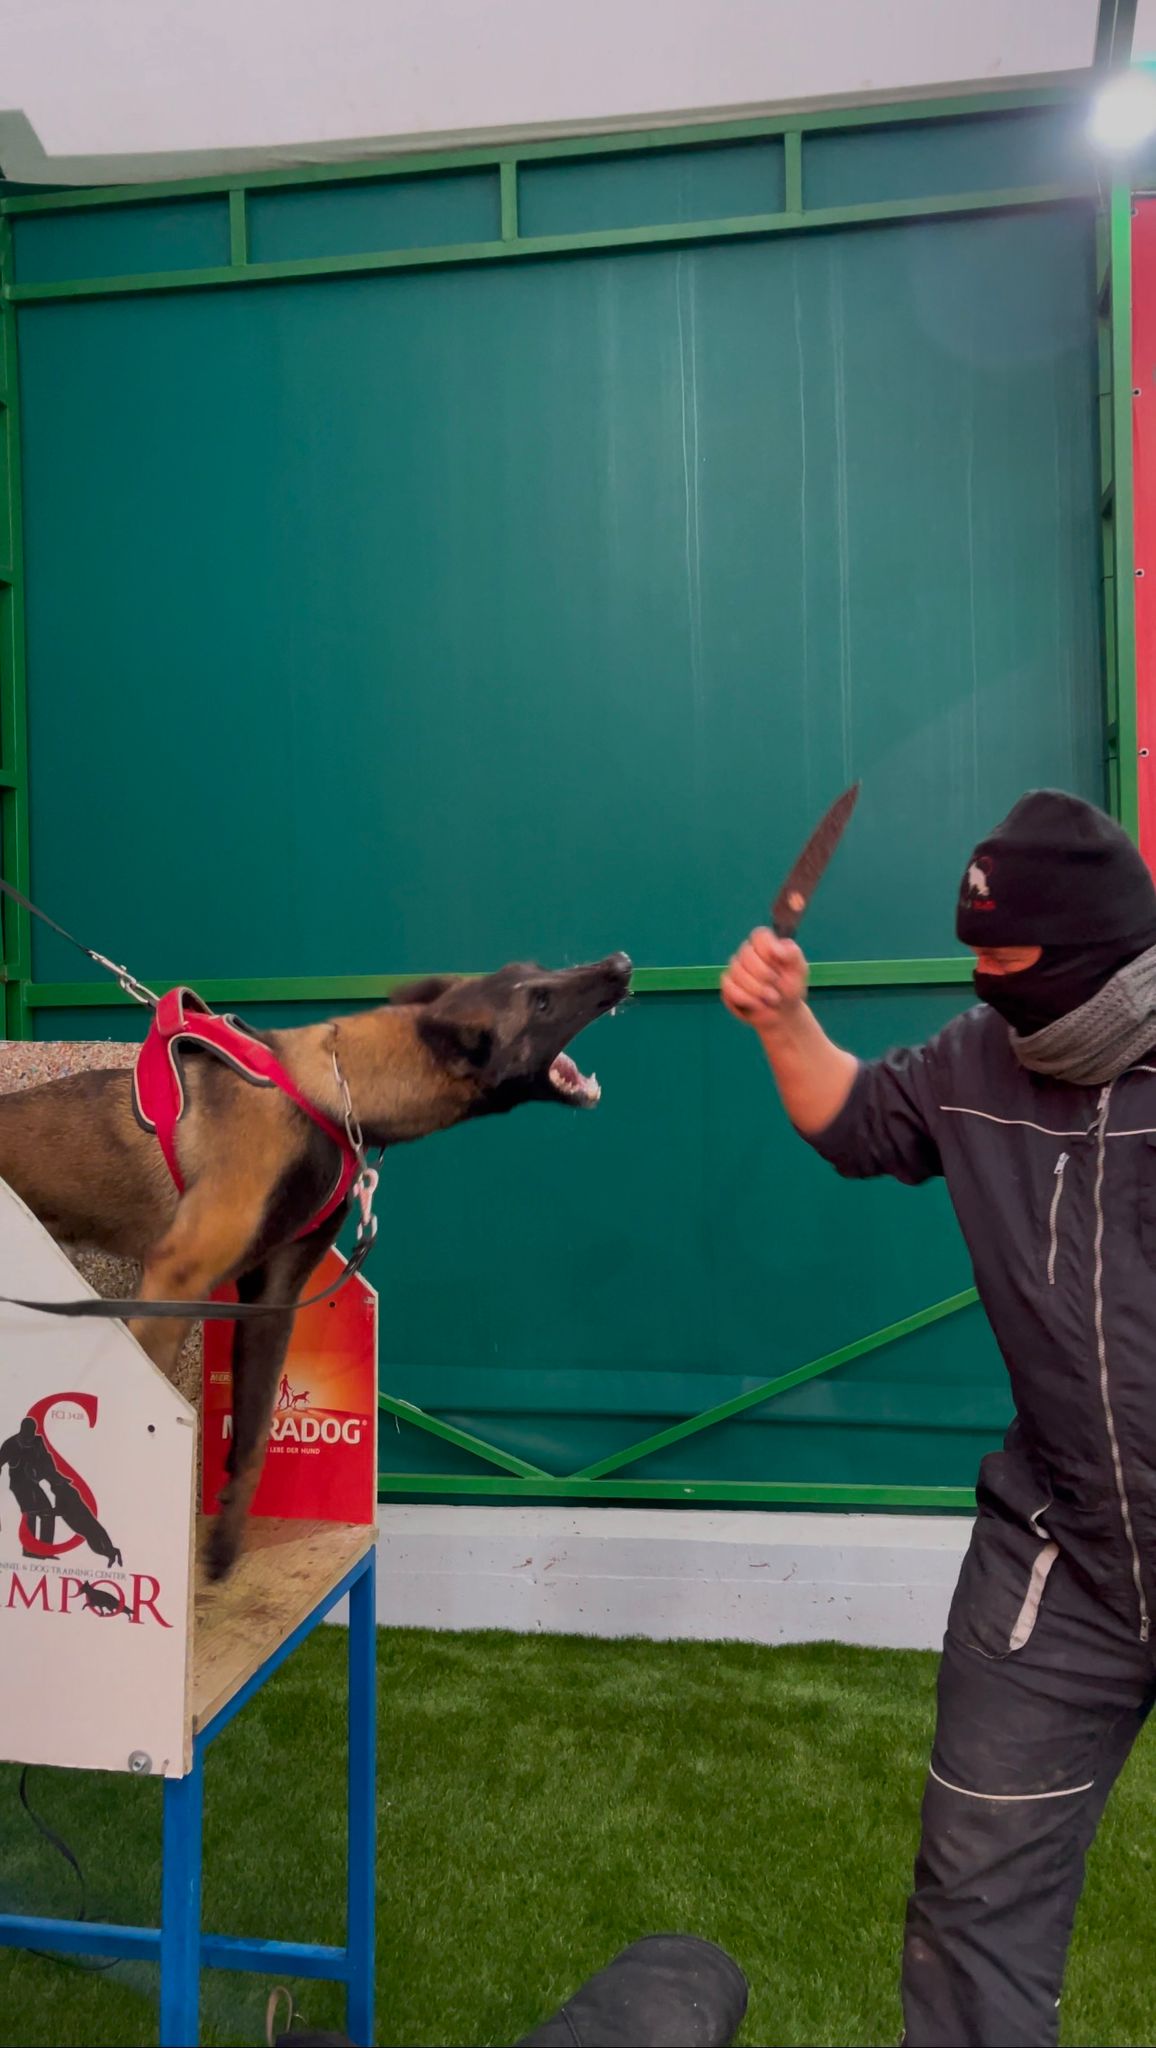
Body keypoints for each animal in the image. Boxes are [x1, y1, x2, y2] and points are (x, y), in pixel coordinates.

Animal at [0, 952, 631, 1577]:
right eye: (541, 1001)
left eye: (542, 969)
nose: (621, 965)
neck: (332, 1092)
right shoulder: (175, 1281)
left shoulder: (274, 1296)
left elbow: (254, 1436)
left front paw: (224, 1545)